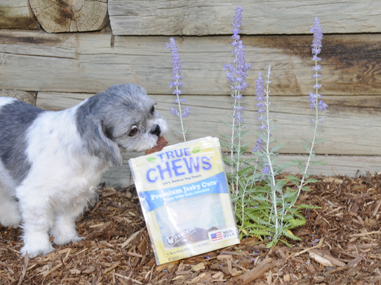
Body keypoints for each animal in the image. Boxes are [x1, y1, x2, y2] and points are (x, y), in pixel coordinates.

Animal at [0, 83, 166, 256]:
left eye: (152, 109)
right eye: (132, 130)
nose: (156, 129)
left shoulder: (77, 193)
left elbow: (66, 218)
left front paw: (66, 237)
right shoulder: (34, 196)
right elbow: (38, 224)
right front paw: (37, 247)